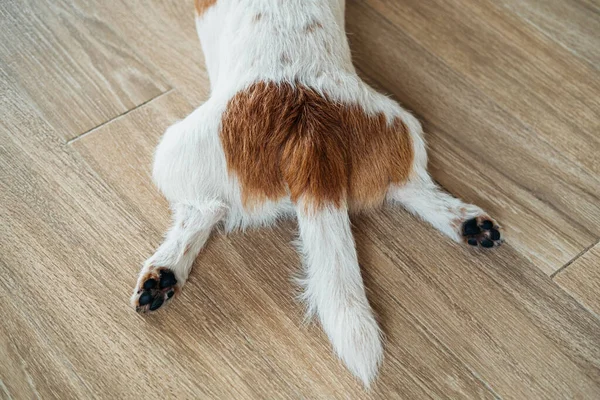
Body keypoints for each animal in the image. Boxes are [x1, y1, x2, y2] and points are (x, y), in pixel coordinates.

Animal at [130, 0, 502, 388]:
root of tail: (310, 130)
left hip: (172, 152)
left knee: (201, 212)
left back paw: (162, 274)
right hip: (403, 129)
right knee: (413, 188)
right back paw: (470, 224)